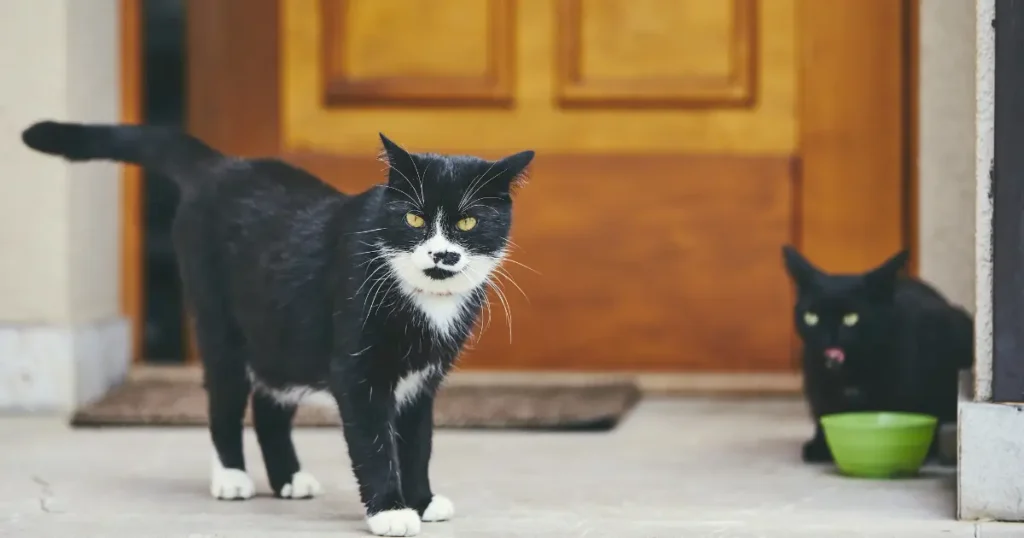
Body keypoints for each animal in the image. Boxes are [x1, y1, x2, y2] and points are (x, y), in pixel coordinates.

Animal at [22, 119, 536, 532]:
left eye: (467, 223)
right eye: (413, 217)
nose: (441, 254)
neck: (423, 303)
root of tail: (223, 166)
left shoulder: (423, 380)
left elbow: (417, 442)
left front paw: (423, 501)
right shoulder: (358, 372)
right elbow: (373, 442)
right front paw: (390, 511)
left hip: (282, 334)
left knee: (269, 402)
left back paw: (289, 477)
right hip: (219, 322)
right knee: (226, 400)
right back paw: (232, 477)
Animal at [778, 246, 970, 461]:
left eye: (851, 318)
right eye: (812, 317)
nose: (828, 336)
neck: (851, 373)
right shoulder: (818, 387)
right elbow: (824, 414)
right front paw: (820, 445)